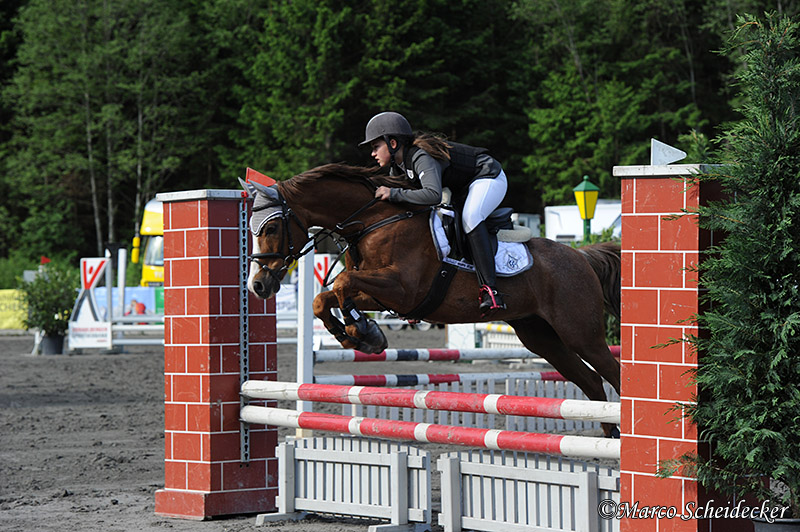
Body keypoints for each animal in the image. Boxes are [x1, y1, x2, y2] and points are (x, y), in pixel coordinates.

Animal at [242, 163, 621, 436]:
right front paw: (359, 334)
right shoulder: (384, 296)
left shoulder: (403, 289)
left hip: (579, 332)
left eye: (271, 228)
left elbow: (341, 283)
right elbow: (325, 297)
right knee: (590, 382)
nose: (257, 285)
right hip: (540, 336)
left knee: (611, 372)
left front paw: (362, 332)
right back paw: (610, 435)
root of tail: (581, 256)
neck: (374, 221)